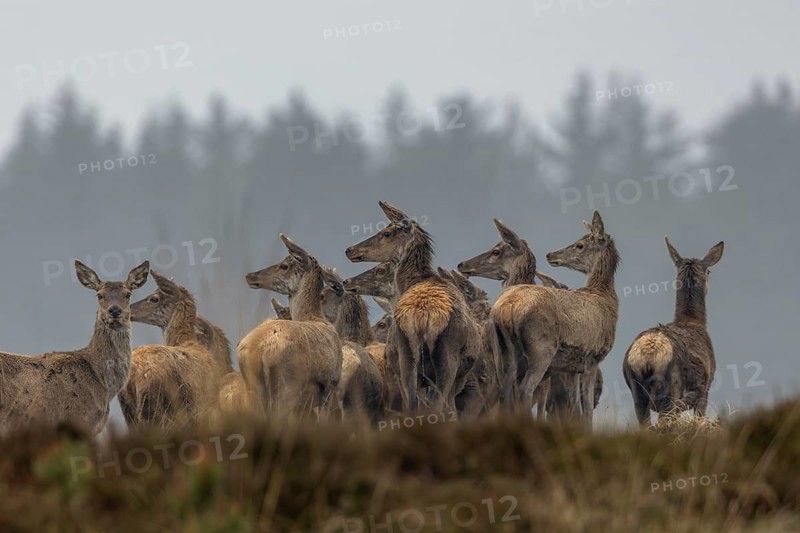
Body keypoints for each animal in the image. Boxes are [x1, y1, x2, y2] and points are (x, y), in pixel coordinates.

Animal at [239, 235, 342, 418]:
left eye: (284, 265)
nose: (250, 276)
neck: (315, 316)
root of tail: (259, 350)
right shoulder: (330, 386)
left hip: (252, 391)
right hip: (287, 387)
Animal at [345, 201, 481, 413]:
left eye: (386, 233)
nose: (350, 249)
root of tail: (423, 316)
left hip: (407, 358)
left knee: (413, 404)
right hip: (445, 360)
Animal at [488, 211, 619, 426]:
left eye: (579, 245)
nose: (551, 254)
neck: (607, 299)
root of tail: (507, 307)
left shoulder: (573, 367)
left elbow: (576, 410)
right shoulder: (593, 356)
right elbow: (586, 412)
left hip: (501, 349)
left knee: (505, 391)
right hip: (542, 348)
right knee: (524, 390)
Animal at [623, 237, 724, 425]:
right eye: (709, 271)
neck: (692, 322)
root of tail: (647, 357)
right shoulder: (706, 388)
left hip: (637, 393)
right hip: (671, 391)